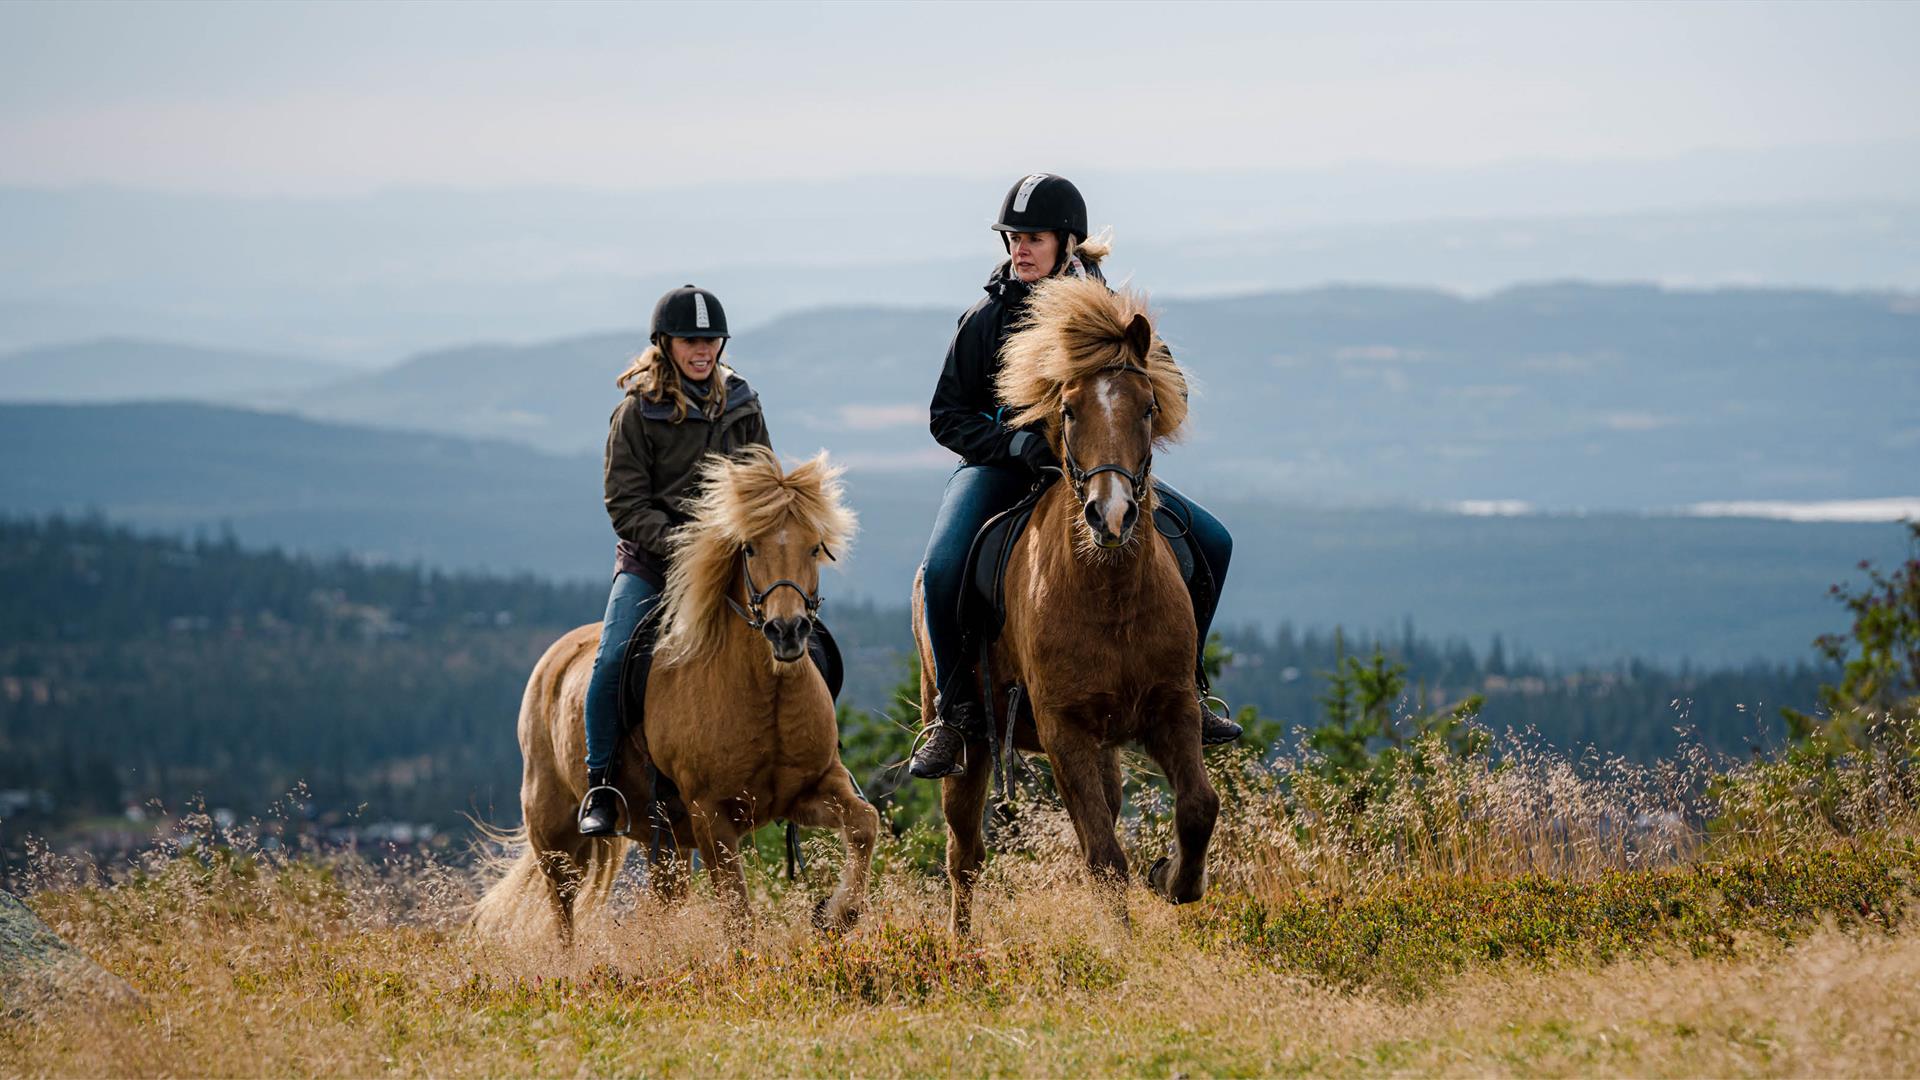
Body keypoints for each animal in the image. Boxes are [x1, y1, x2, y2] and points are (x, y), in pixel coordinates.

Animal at [476, 443, 875, 933]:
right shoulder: (711, 815)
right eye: (749, 547)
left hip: (663, 842)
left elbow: (864, 824)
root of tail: (553, 659)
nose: (787, 631)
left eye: (815, 546)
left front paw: (837, 913)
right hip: (554, 831)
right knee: (563, 908)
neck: (767, 697)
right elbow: (738, 916)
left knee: (661, 899)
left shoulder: (810, 789)